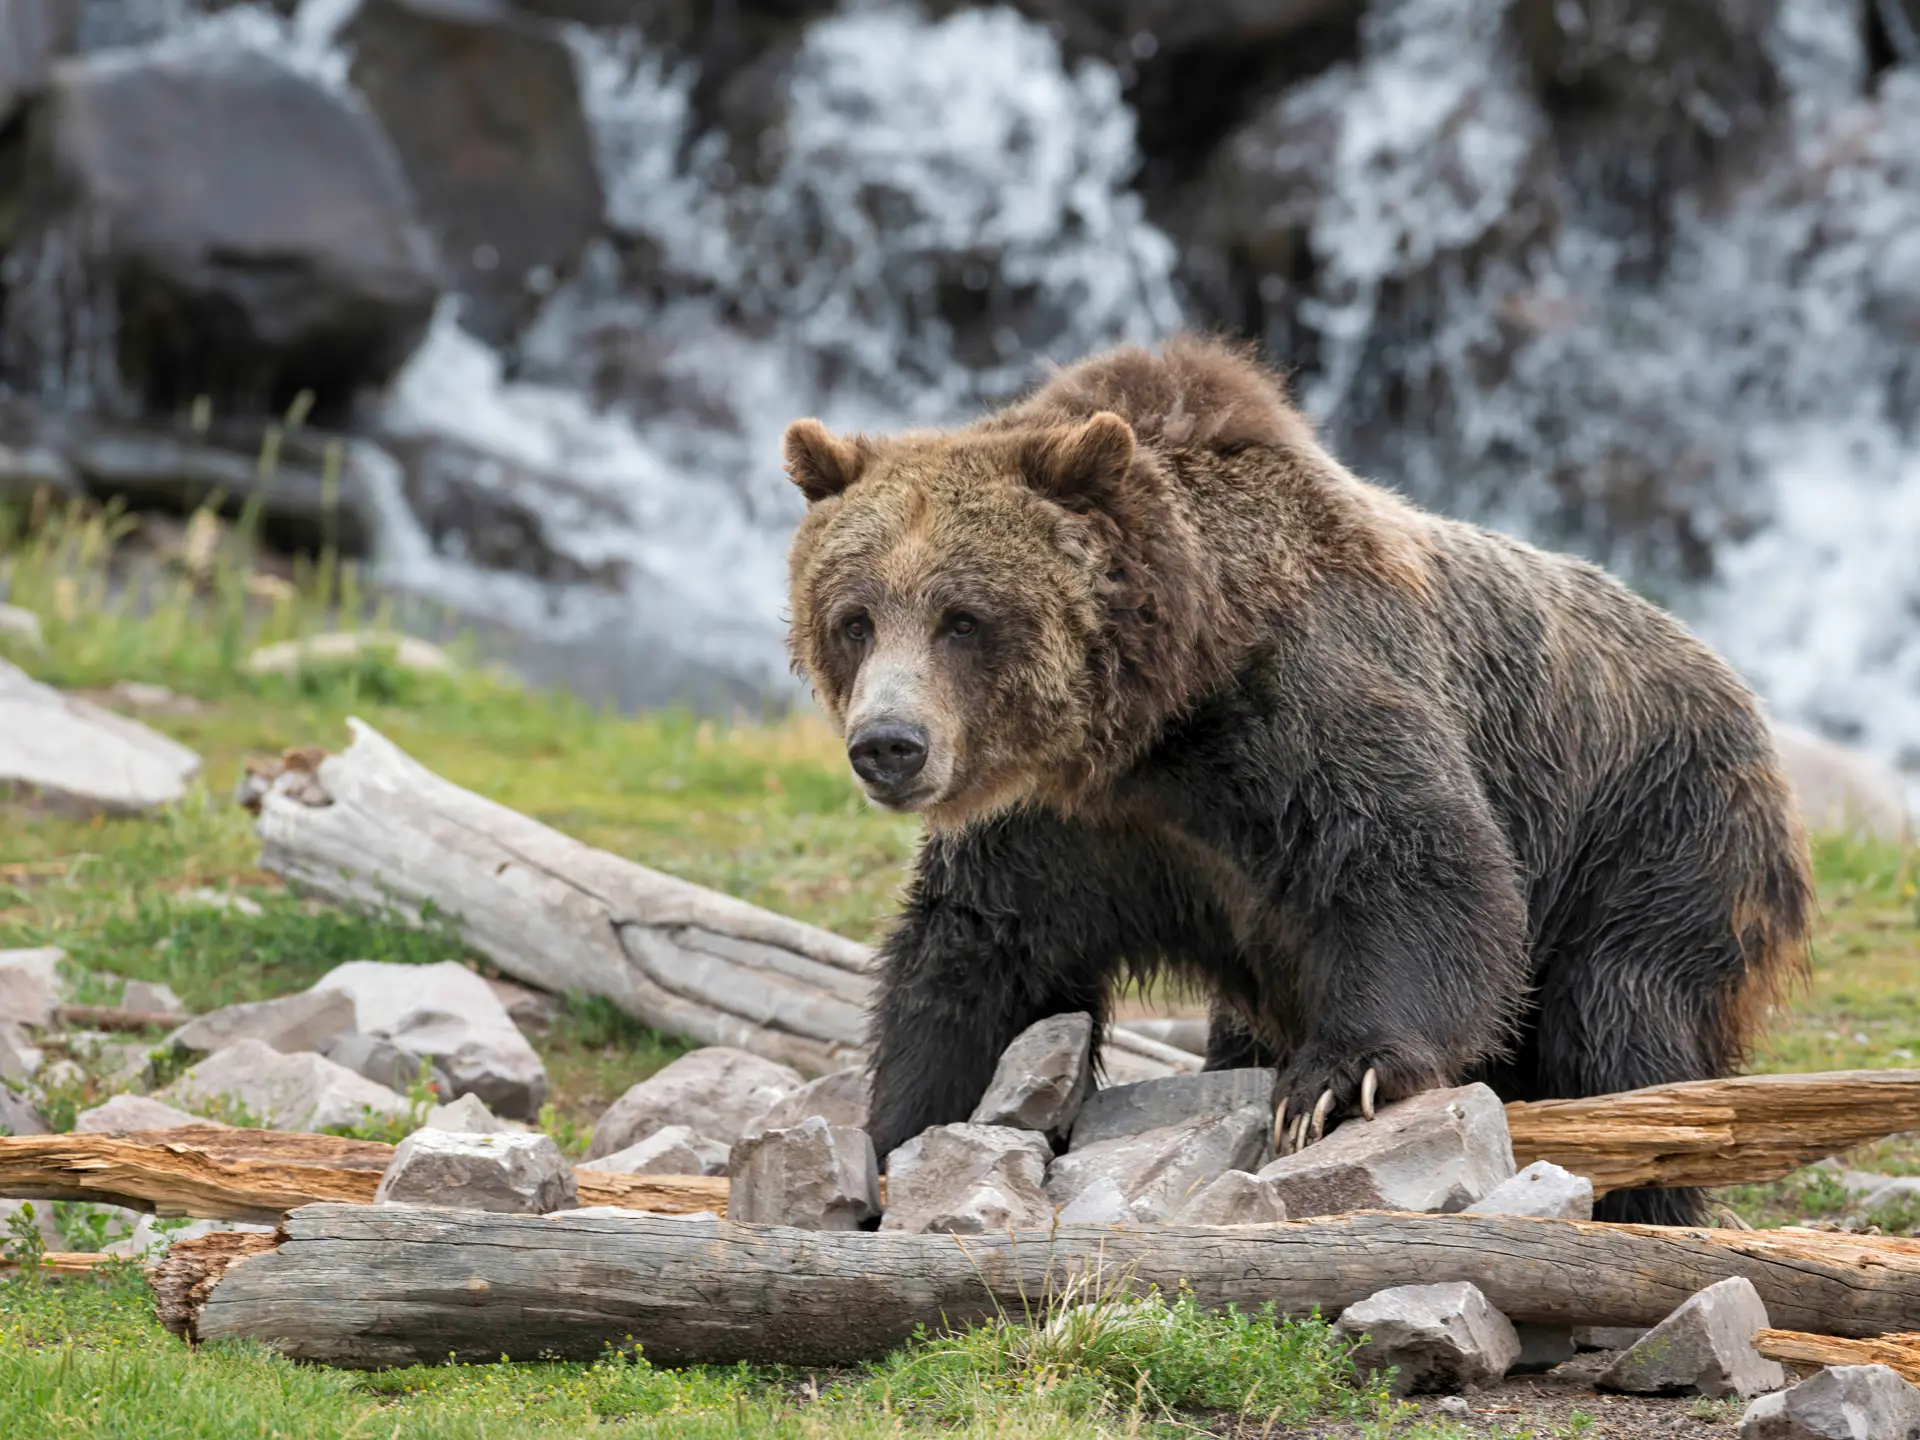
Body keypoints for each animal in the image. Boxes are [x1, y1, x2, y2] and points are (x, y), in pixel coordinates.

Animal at [781, 336, 1813, 1226]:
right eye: (854, 617)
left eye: (964, 618)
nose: (889, 744)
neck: (1159, 718)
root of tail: (1739, 693)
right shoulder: (1065, 829)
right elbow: (978, 960)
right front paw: (895, 1137)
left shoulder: (1302, 710)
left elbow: (1421, 869)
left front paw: (1333, 1084)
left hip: (1657, 834)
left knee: (1623, 1025)